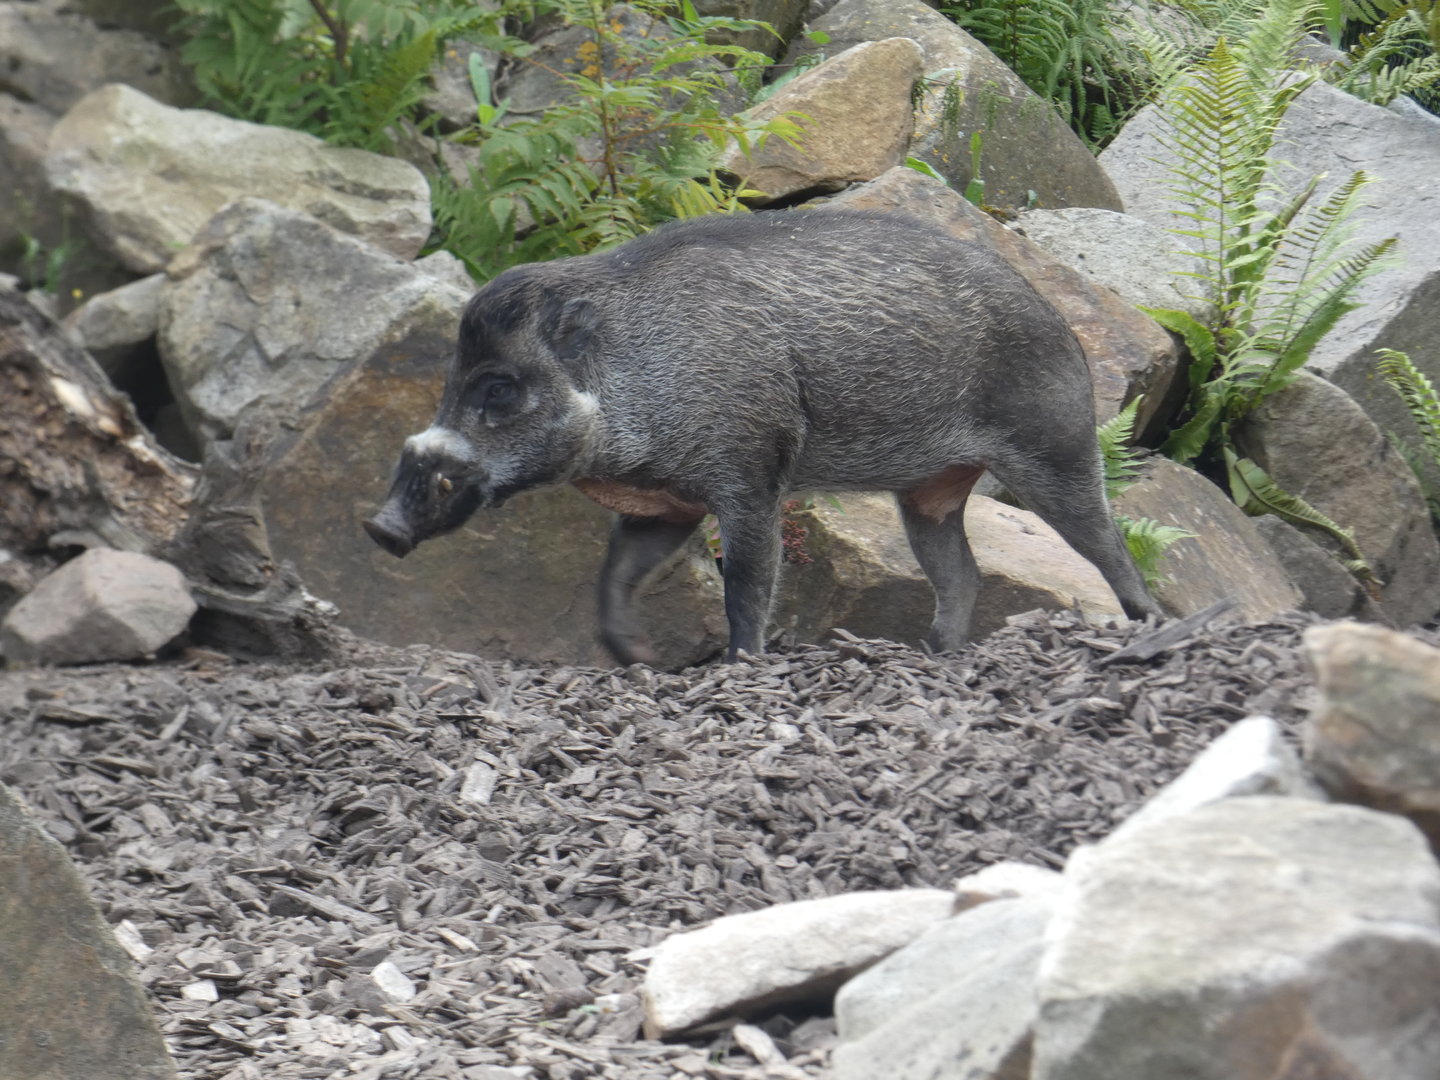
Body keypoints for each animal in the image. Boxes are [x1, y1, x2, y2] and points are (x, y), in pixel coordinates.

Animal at [364, 209, 1161, 664]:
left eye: (499, 390)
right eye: (451, 380)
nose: (379, 527)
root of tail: (1061, 324)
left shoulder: (750, 475)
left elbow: (747, 584)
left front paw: (740, 667)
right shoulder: (666, 504)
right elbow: (615, 574)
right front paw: (635, 656)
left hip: (1052, 446)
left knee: (1105, 541)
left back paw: (1145, 626)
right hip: (928, 493)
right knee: (961, 572)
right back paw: (934, 657)